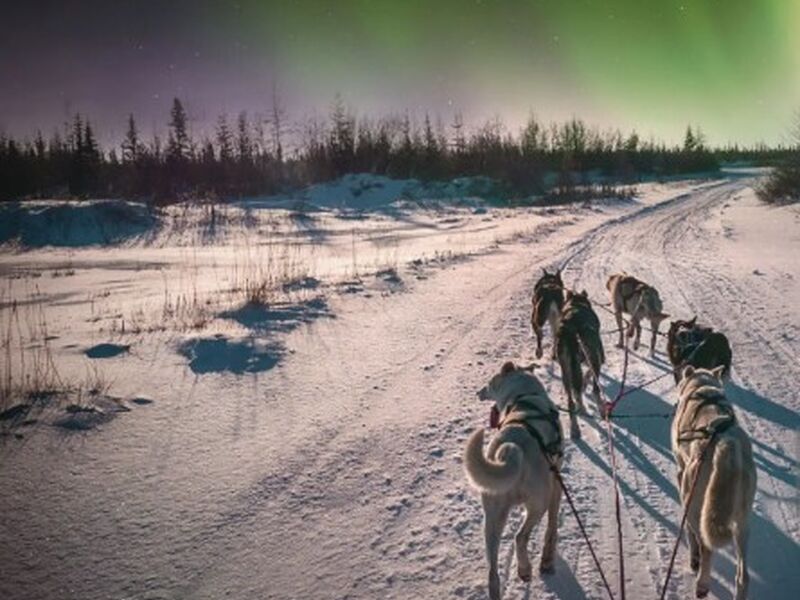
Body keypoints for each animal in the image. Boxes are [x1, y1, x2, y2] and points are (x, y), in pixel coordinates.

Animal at [462, 360, 564, 600]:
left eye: (490, 382)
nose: (478, 392)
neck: (524, 396)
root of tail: (510, 447)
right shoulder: (556, 484)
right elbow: (552, 526)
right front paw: (547, 561)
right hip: (538, 503)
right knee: (520, 537)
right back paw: (525, 569)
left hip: (492, 518)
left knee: (492, 573)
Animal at [668, 366, 756, 600]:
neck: (702, 387)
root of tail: (726, 442)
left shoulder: (680, 472)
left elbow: (690, 533)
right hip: (743, 524)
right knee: (743, 576)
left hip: (694, 503)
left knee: (704, 545)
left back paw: (701, 580)